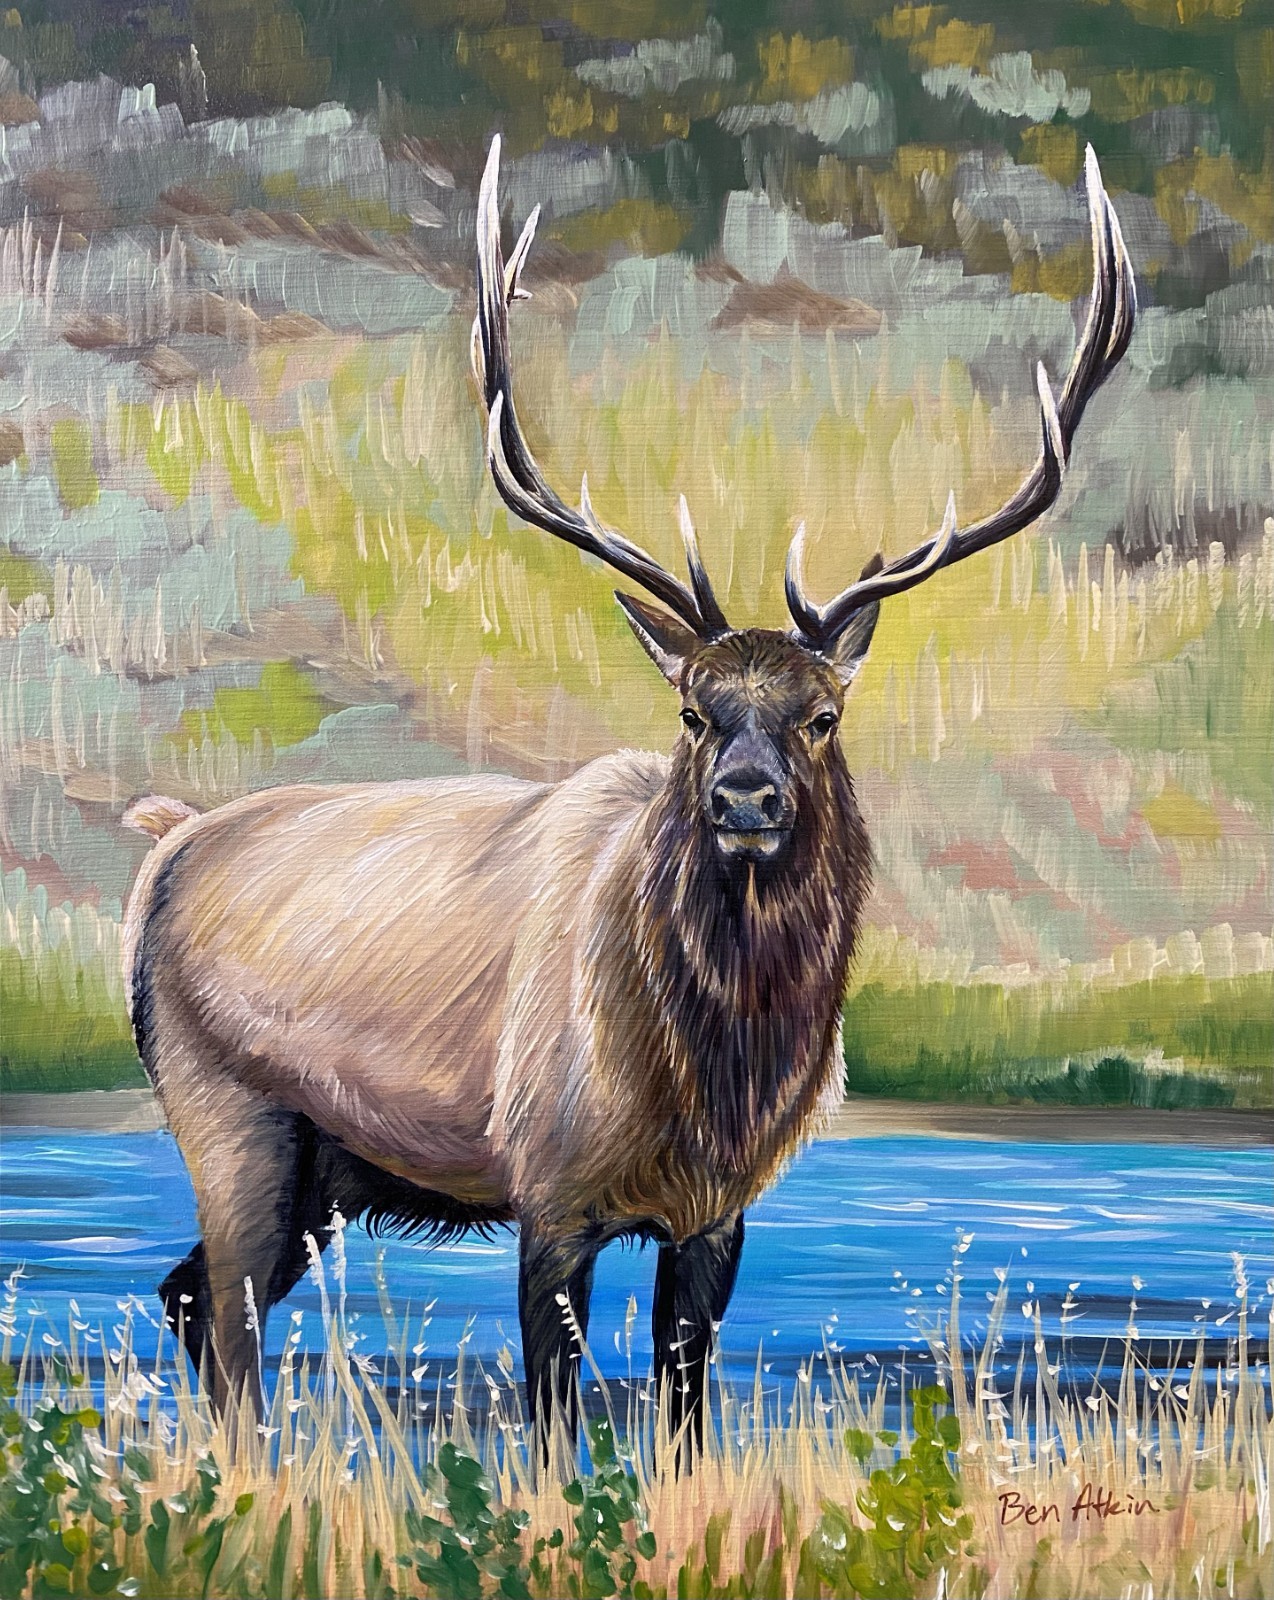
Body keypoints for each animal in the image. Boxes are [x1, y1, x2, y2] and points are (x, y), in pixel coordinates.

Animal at [122, 136, 1134, 1465]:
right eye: (693, 710)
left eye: (821, 713)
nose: (746, 797)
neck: (712, 1076)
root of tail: (162, 848)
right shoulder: (549, 1190)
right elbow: (555, 1422)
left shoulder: (715, 1212)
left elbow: (684, 1408)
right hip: (229, 1112)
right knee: (226, 1319)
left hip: (324, 1177)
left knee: (186, 1293)